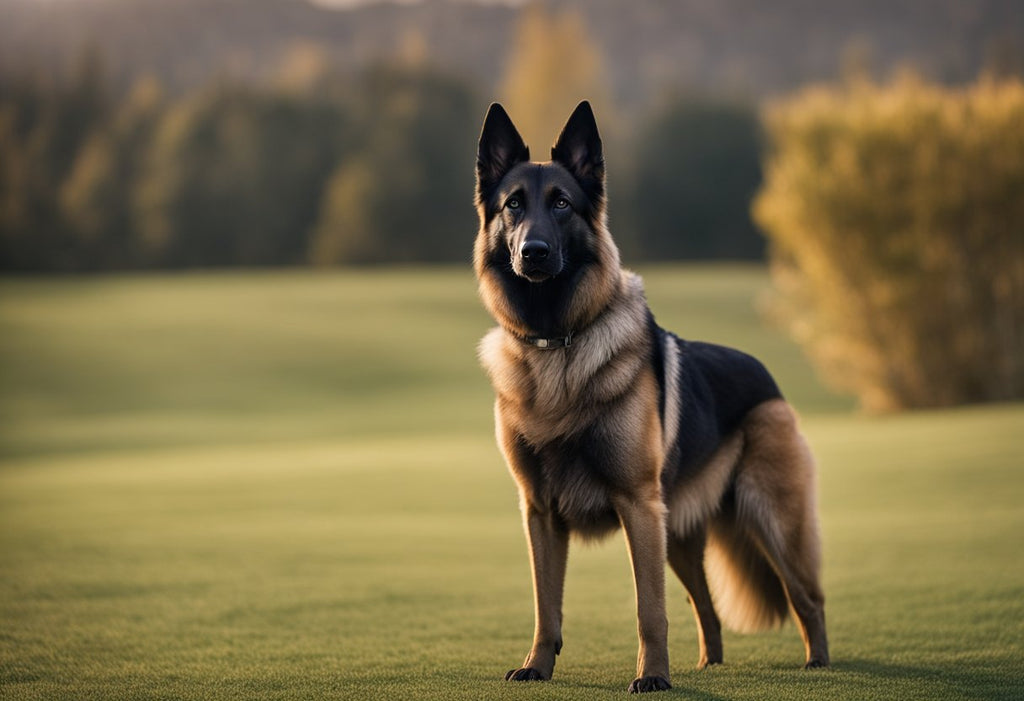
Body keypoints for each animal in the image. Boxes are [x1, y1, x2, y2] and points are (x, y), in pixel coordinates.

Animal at [475, 101, 827, 691]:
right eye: (513, 205)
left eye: (562, 204)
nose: (534, 252)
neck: (557, 342)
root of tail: (767, 377)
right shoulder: (540, 514)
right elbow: (547, 607)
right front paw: (537, 666)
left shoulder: (637, 508)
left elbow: (649, 609)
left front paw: (653, 677)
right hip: (680, 540)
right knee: (707, 609)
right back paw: (710, 664)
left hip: (771, 522)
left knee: (808, 597)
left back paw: (818, 663)